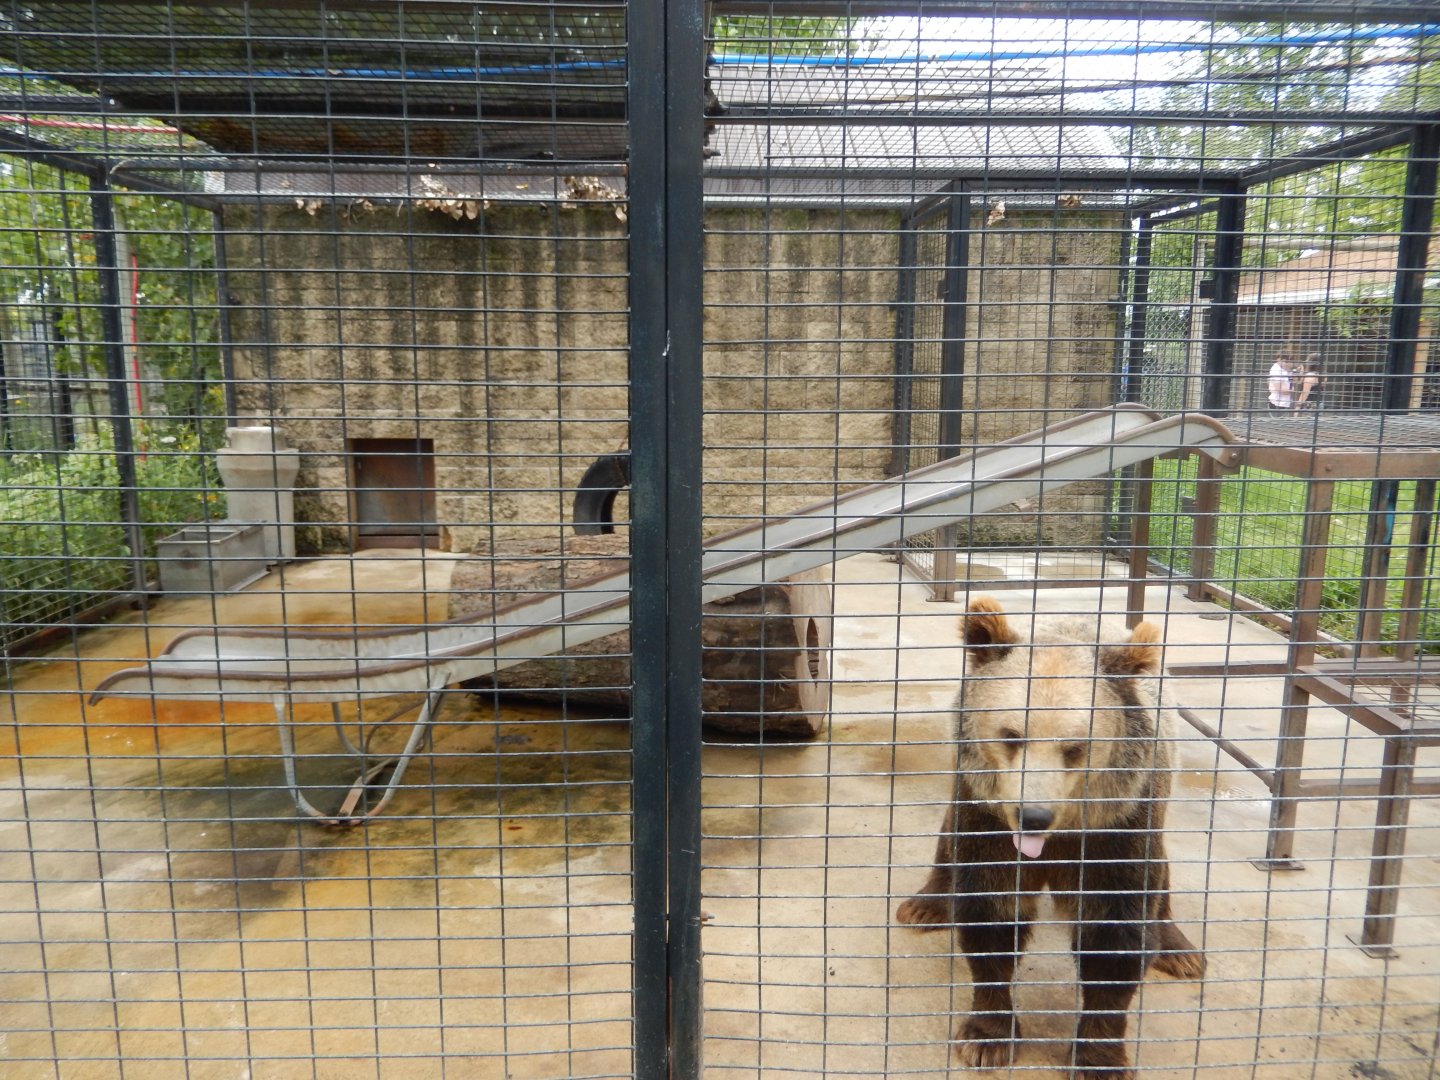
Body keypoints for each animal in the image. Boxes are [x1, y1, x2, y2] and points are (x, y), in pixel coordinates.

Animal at [897, 595, 1205, 1079]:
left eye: (1075, 747)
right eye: (1011, 735)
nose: (1033, 816)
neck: (1059, 836)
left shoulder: (1114, 828)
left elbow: (1114, 933)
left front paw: (1099, 1058)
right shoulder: (990, 819)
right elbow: (992, 912)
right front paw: (987, 1037)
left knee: (1160, 875)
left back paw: (1179, 950)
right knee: (948, 841)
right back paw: (926, 904)